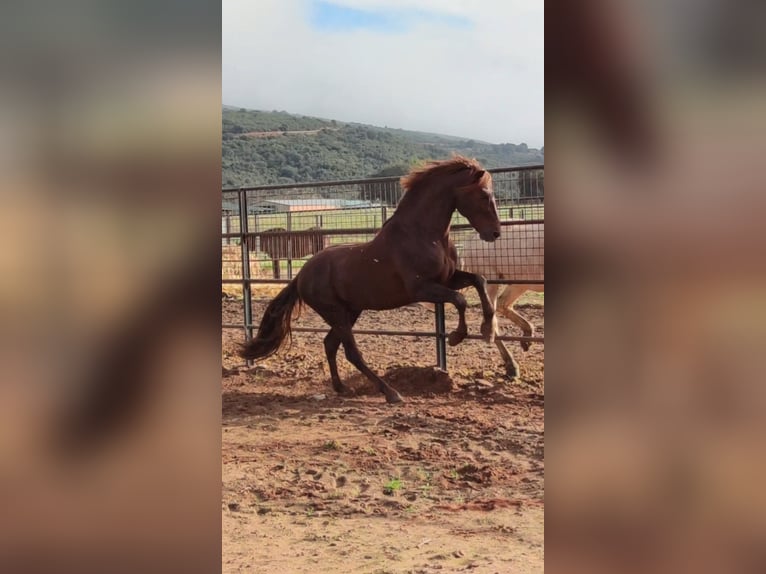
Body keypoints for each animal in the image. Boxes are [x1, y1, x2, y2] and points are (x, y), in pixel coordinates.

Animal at [239, 156, 502, 403]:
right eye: (483, 195)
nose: (495, 233)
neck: (423, 235)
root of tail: (301, 275)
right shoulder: (422, 288)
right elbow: (460, 300)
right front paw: (457, 336)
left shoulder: (448, 279)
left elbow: (479, 281)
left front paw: (488, 330)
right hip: (336, 313)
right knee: (351, 352)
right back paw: (391, 393)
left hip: (350, 311)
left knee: (330, 344)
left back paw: (342, 387)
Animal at [460, 223, 544, 380]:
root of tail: (470, 240)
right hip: (492, 282)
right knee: (491, 322)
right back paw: (512, 366)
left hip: (519, 283)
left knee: (502, 305)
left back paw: (527, 338)